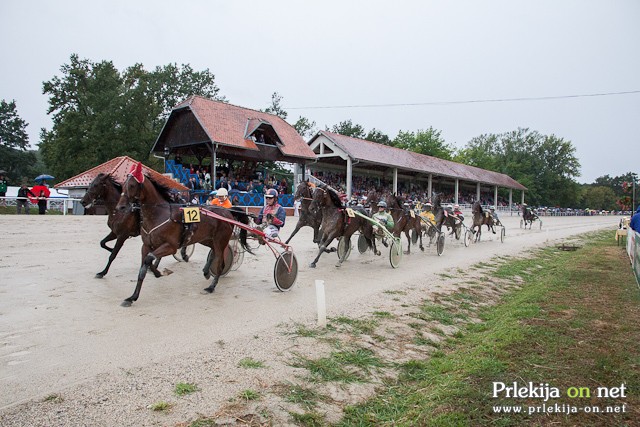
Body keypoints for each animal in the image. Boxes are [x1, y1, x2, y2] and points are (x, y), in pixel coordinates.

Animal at [116, 172, 251, 306]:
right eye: (123, 185)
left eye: (132, 185)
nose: (120, 207)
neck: (159, 214)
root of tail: (228, 212)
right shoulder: (146, 246)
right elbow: (143, 267)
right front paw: (133, 296)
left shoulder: (170, 246)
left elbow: (148, 260)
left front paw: (158, 272)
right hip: (206, 239)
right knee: (213, 252)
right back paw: (206, 272)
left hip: (220, 240)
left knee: (220, 263)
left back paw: (211, 287)